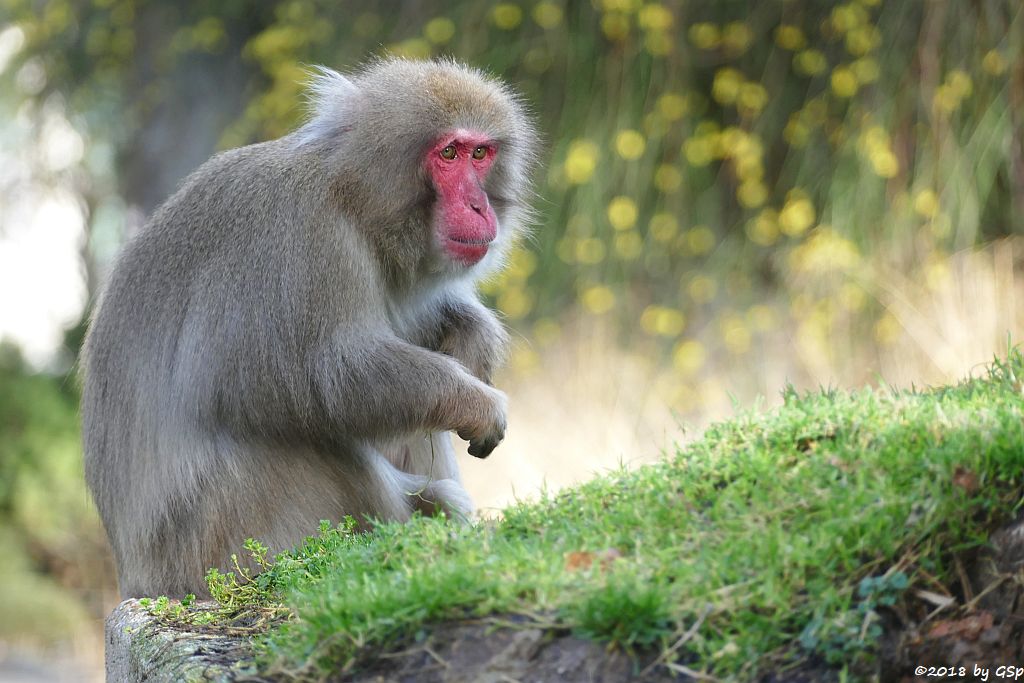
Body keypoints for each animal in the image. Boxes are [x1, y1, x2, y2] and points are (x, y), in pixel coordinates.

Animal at [81, 58, 536, 598]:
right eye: (449, 153)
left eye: (481, 153)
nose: (479, 207)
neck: (353, 198)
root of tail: (141, 580)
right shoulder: (300, 240)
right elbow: (300, 377)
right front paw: (475, 404)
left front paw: (474, 336)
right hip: (226, 542)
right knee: (311, 429)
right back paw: (422, 515)